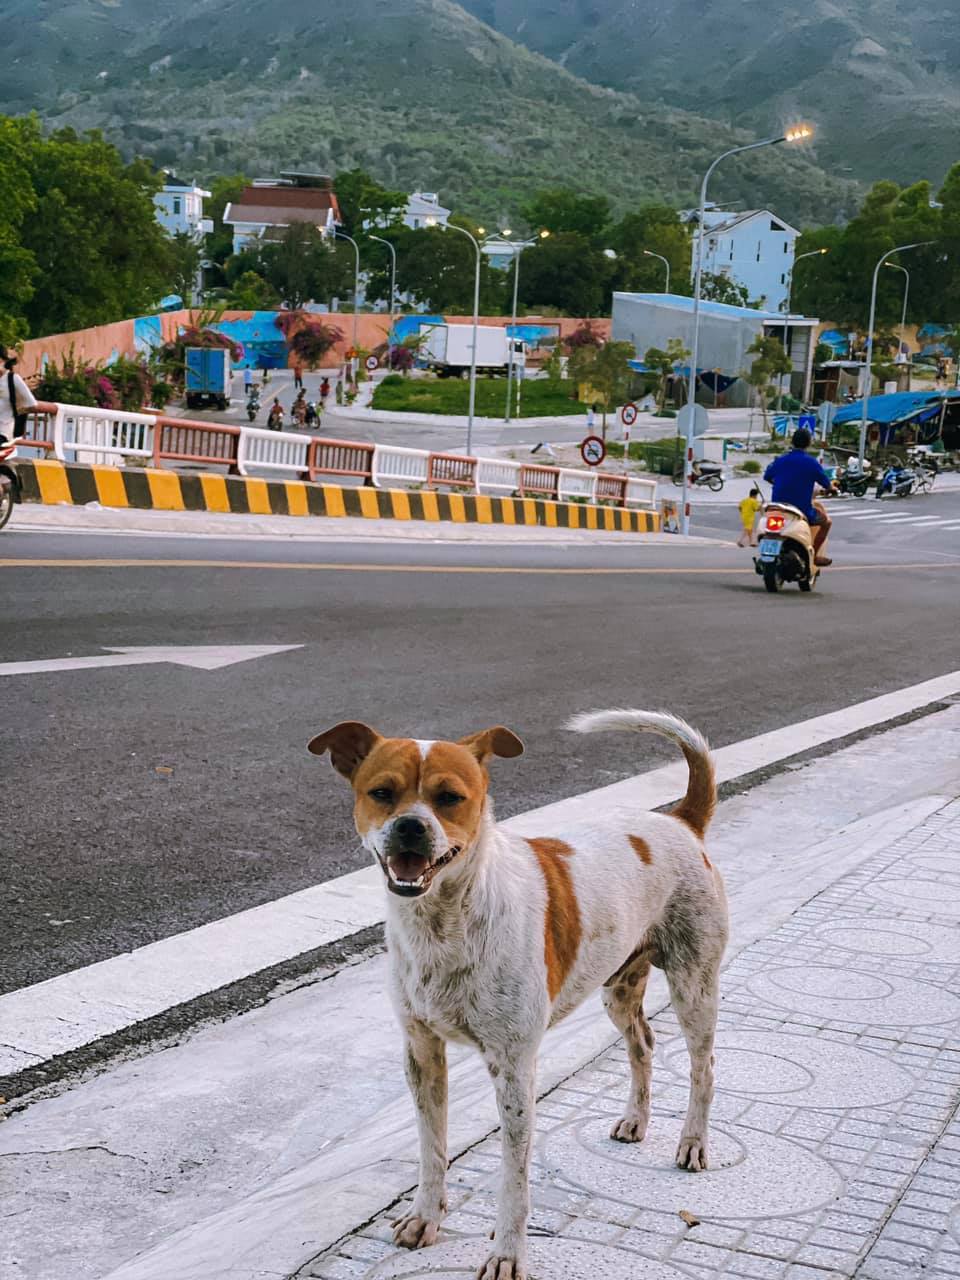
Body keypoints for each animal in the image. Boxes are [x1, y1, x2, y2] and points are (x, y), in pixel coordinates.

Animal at [309, 711, 727, 1280]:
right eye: (381, 792)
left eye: (450, 797)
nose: (410, 826)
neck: (445, 922)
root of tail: (681, 821)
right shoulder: (421, 1052)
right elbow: (431, 1147)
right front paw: (425, 1217)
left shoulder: (513, 1066)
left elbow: (514, 1178)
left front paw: (507, 1254)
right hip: (619, 987)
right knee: (642, 1043)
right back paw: (637, 1120)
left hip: (694, 983)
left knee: (703, 1068)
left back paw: (693, 1143)